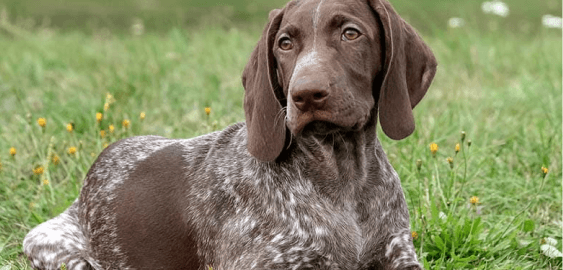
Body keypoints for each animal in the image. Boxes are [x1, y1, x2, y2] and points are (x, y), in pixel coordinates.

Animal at [23, 0, 436, 268]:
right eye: (285, 43)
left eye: (351, 33)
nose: (305, 94)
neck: (342, 175)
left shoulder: (400, 255)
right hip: (49, 243)